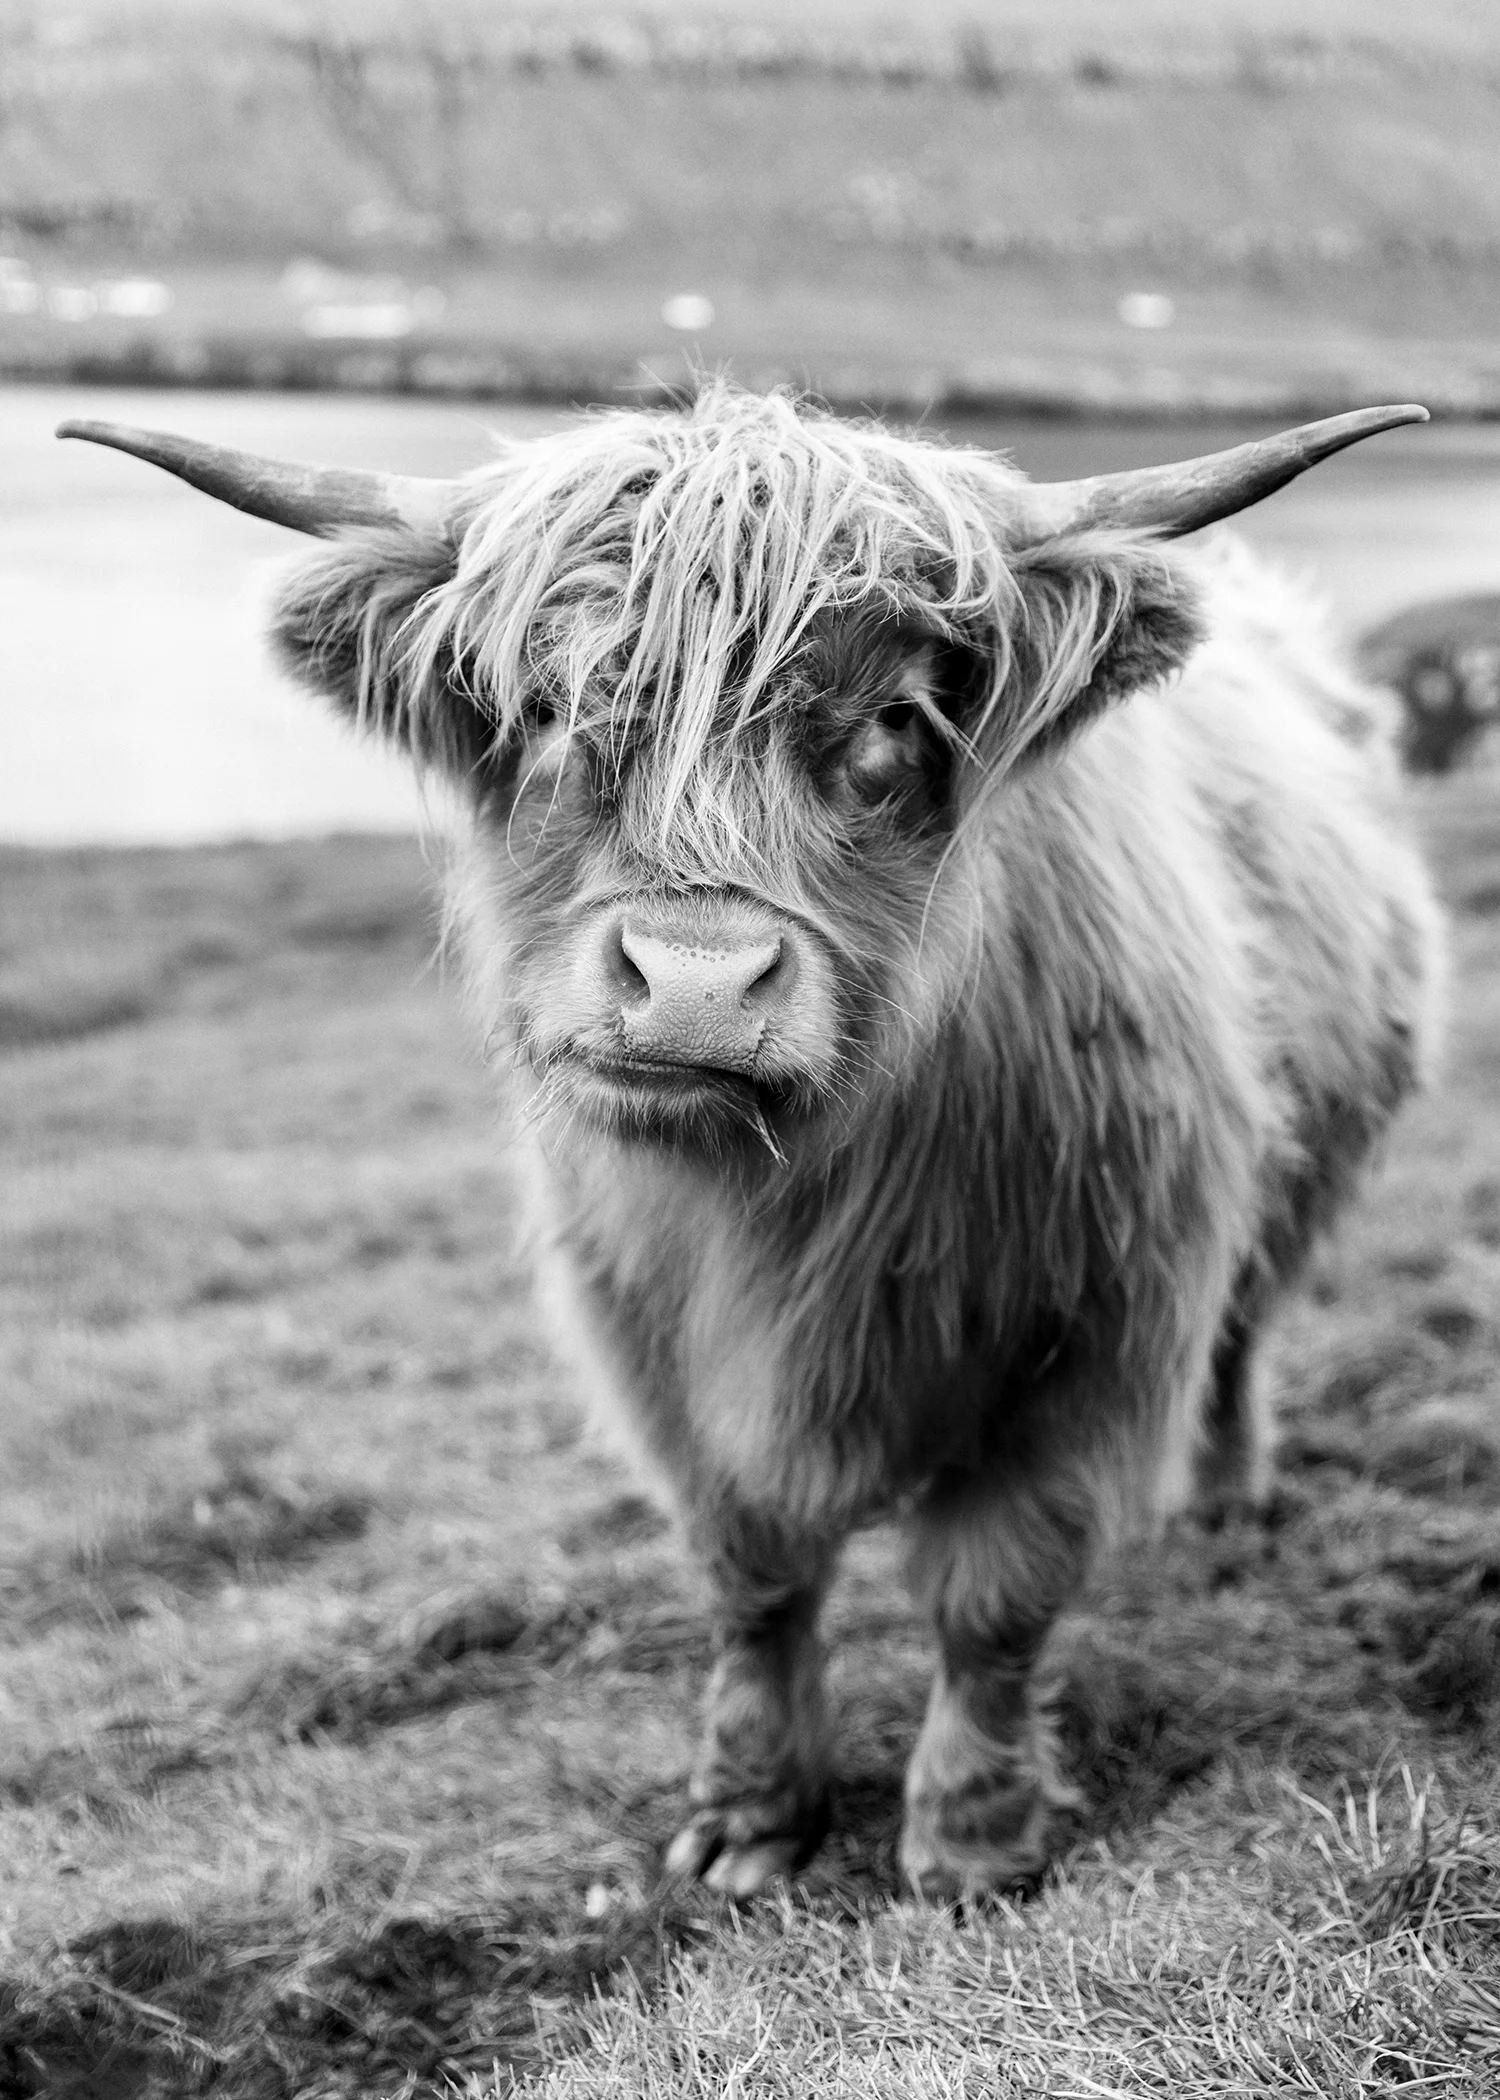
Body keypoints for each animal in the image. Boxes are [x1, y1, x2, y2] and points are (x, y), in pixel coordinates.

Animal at [60, 389, 1443, 1900]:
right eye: (541, 706)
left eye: (893, 720)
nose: (695, 984)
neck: (784, 1206)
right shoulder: (650, 1339)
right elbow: (753, 1573)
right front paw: (751, 1816)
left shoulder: (1095, 1318)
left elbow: (998, 1590)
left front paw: (969, 1838)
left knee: (1245, 1334)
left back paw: (1226, 1498)